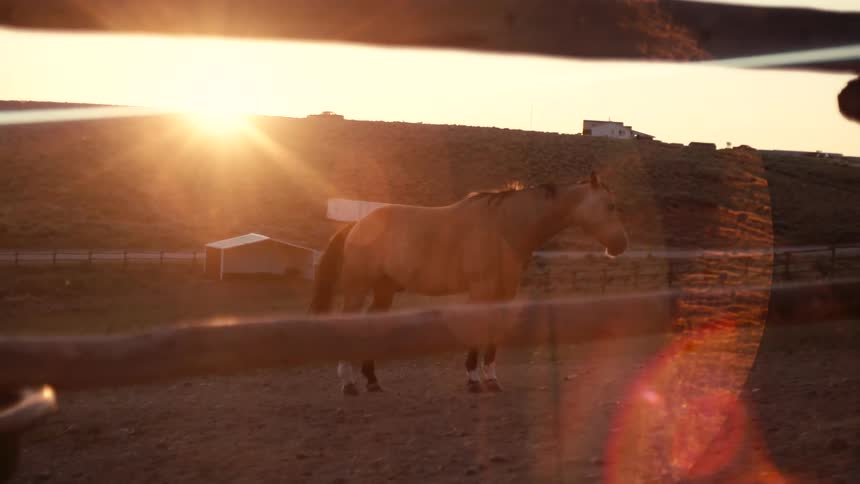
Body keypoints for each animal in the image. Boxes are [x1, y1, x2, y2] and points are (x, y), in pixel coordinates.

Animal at [309, 171, 628, 395]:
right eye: (610, 205)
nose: (621, 245)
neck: (504, 226)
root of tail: (356, 225)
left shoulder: (505, 291)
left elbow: (494, 334)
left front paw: (491, 379)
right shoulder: (481, 289)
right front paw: (474, 380)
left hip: (384, 290)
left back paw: (372, 381)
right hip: (357, 288)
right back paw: (348, 383)